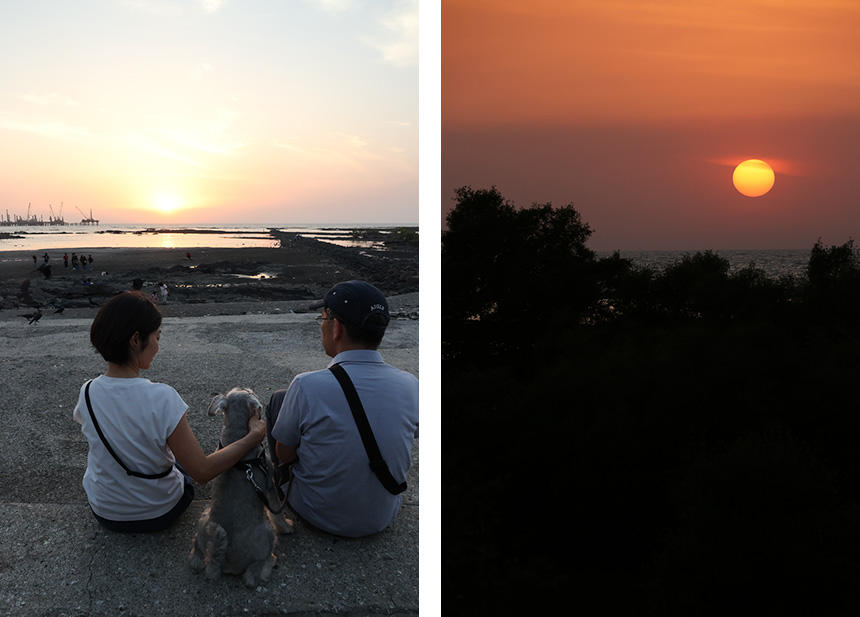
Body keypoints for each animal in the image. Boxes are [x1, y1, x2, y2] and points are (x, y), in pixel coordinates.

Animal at [190, 388, 284, 584]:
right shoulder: (270, 486)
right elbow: (277, 513)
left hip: (204, 520)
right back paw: (270, 561)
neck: (237, 436)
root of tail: (223, 562)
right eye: (250, 392)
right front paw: (288, 527)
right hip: (267, 532)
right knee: (252, 575)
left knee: (197, 554)